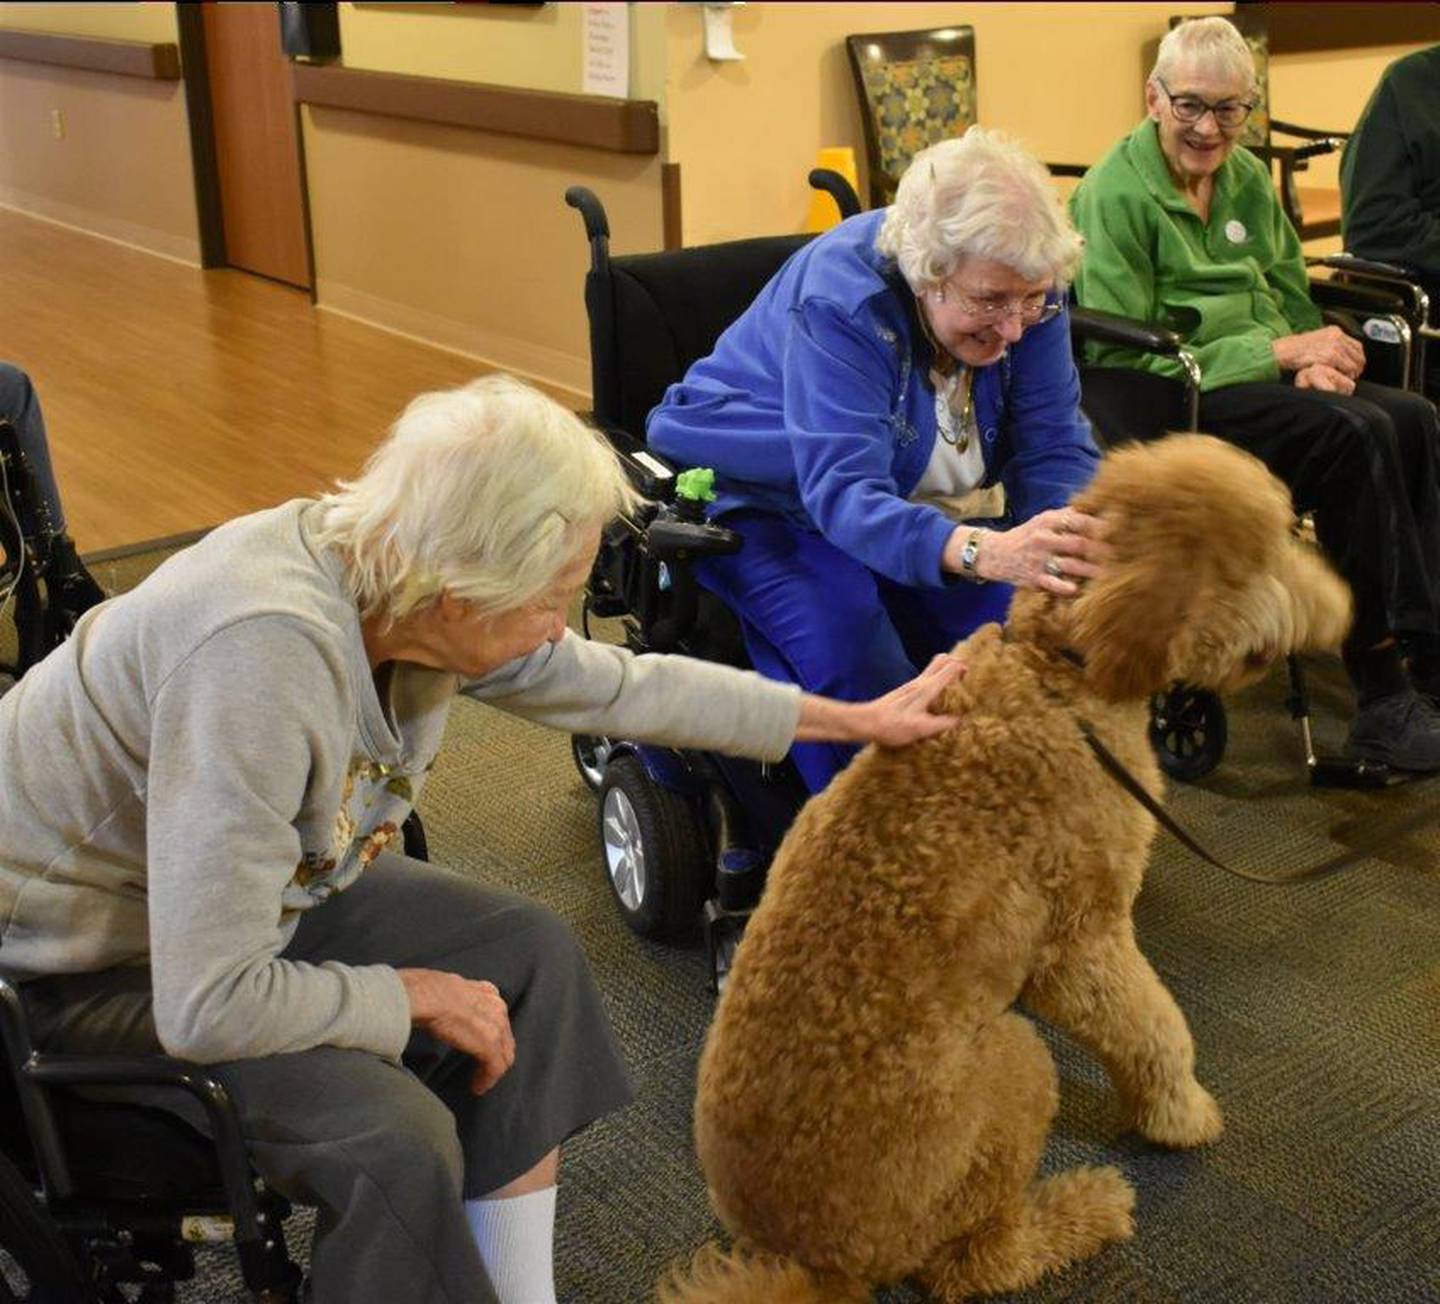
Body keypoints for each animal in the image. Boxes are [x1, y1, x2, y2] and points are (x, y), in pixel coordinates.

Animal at [659, 431, 1347, 1295]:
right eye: (1266, 551)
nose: (1344, 606)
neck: (1058, 672)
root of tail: (814, 1263)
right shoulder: (1082, 941)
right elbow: (1158, 1027)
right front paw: (1180, 1114)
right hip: (1016, 1067)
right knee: (975, 1262)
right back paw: (1086, 1208)